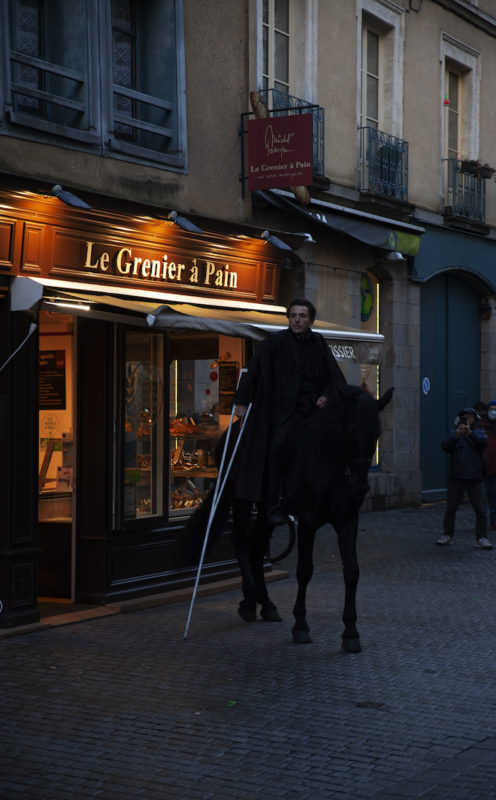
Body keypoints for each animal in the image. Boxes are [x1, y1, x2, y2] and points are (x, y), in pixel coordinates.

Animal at [177, 384, 393, 652]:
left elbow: (352, 571)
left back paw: (265, 603)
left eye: (377, 432)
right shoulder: (307, 521)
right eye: (351, 431)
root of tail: (231, 430)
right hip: (239, 498)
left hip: (265, 511)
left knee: (257, 547)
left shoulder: (347, 521)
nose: (360, 487)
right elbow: (305, 570)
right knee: (240, 540)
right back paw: (249, 600)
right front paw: (300, 626)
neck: (328, 459)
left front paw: (351, 632)